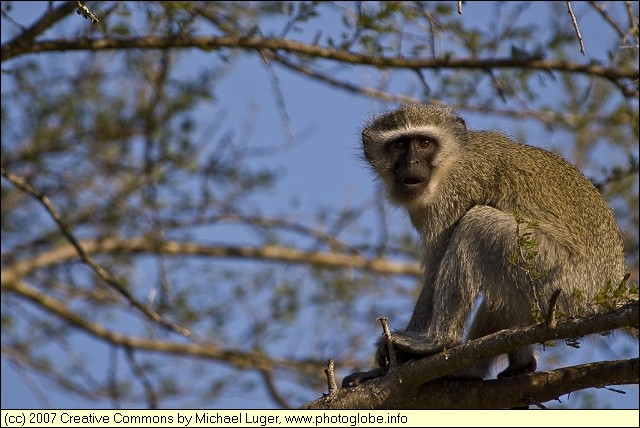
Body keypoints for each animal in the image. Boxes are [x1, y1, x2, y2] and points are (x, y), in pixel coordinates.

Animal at [342, 104, 627, 387]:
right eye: (399, 145)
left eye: (424, 143)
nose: (412, 162)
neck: (449, 164)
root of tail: (610, 291)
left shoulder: (454, 195)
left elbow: (436, 267)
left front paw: (400, 357)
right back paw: (494, 366)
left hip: (560, 276)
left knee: (477, 224)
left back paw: (438, 342)